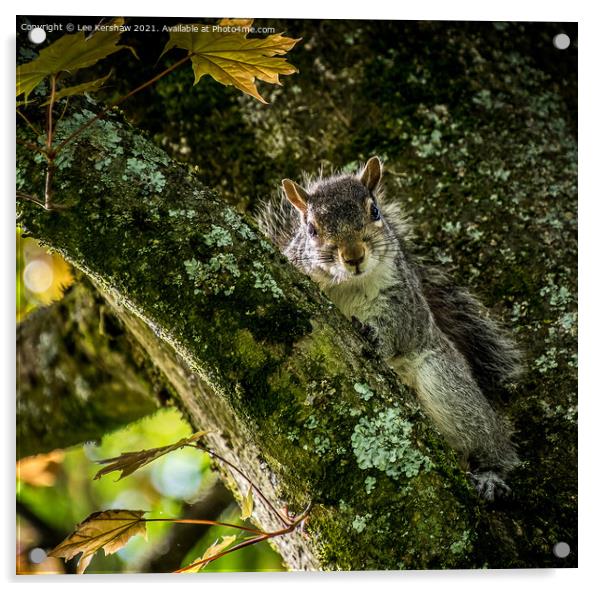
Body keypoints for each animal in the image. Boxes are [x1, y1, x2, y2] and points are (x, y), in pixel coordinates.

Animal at [255, 156, 516, 500]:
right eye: (310, 229)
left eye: (375, 211)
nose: (353, 256)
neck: (347, 284)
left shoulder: (405, 301)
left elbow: (400, 328)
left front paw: (374, 335)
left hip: (446, 383)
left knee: (489, 442)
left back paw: (490, 472)